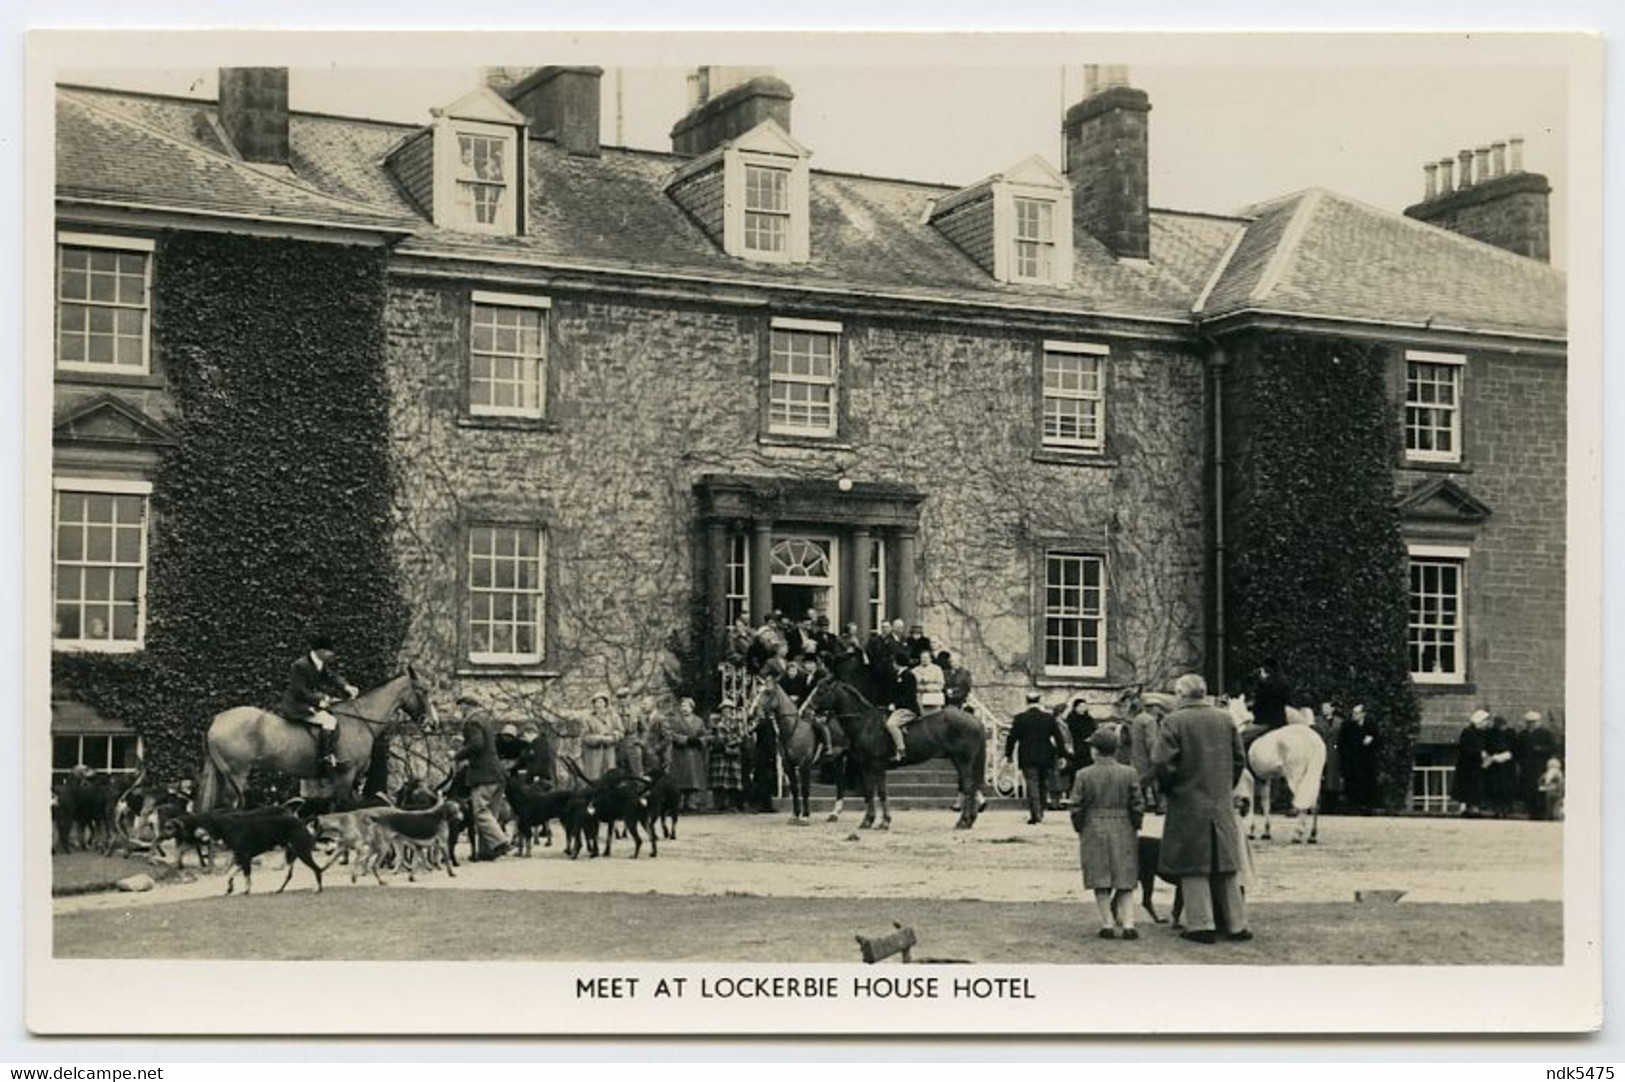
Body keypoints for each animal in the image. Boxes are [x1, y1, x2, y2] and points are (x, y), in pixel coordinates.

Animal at [197, 666, 438, 809]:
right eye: (423, 692)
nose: (433, 723)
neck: (360, 720)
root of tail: (218, 719)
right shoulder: (344, 777)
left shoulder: (348, 781)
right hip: (236, 775)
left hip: (223, 775)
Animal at [806, 675, 981, 831]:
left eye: (821, 691)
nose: (807, 711)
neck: (866, 723)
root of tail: (973, 719)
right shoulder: (866, 766)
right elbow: (870, 792)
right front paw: (868, 821)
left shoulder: (877, 765)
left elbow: (882, 792)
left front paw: (884, 822)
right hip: (960, 761)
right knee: (970, 787)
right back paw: (969, 820)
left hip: (964, 761)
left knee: (967, 787)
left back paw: (963, 821)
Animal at [1222, 695, 1326, 838]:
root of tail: (1312, 739)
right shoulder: (1264, 780)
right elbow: (1265, 803)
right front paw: (1266, 831)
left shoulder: (1248, 779)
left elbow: (1251, 800)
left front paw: (1251, 830)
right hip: (1314, 776)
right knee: (1316, 801)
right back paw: (1312, 835)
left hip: (1295, 777)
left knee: (1303, 803)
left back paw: (1297, 834)